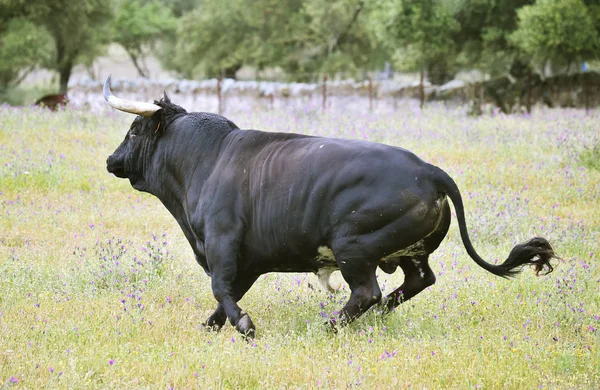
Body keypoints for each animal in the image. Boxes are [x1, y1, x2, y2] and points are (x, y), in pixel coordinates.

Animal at [101, 76, 556, 338]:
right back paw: (374, 317)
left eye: (134, 129)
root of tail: (429, 171)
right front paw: (214, 326)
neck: (207, 159)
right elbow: (225, 294)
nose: (111, 160)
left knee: (367, 292)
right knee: (416, 281)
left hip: (354, 245)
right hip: (408, 251)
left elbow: (220, 288)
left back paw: (330, 325)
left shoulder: (223, 246)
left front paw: (245, 326)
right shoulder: (247, 261)